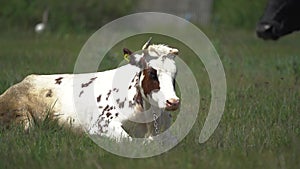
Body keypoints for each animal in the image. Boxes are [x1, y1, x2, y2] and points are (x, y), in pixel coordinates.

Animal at [0, 38, 179, 141]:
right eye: (152, 73)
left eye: (174, 75)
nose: (173, 102)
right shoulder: (101, 125)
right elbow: (128, 140)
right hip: (22, 118)